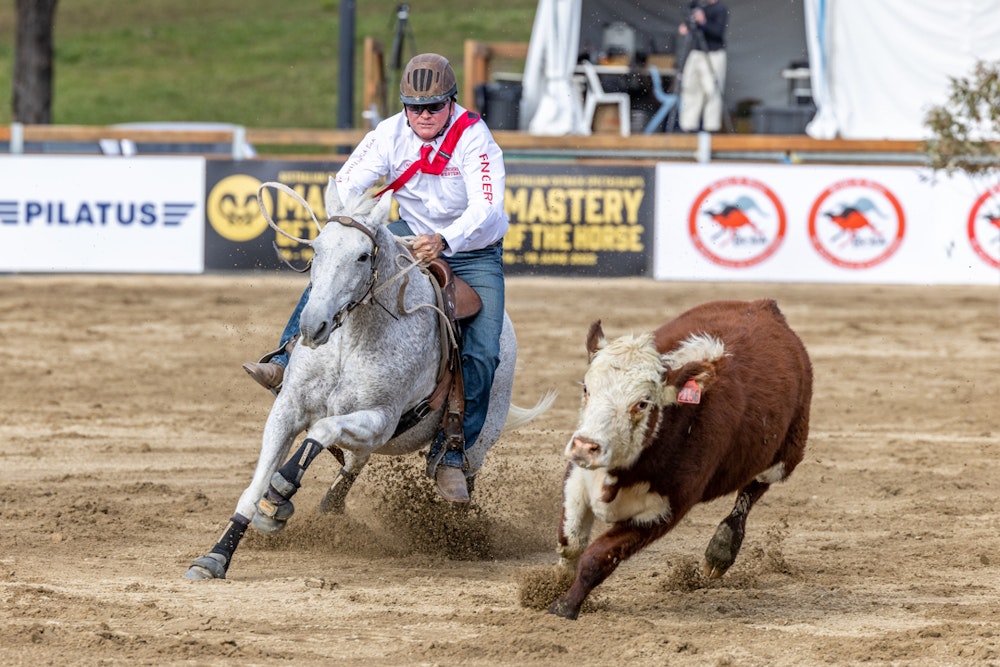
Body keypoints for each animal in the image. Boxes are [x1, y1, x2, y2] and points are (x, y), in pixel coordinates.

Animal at [184, 180, 552, 580]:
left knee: (461, 472)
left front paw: (280, 492)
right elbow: (254, 487)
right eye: (317, 248)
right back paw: (330, 505)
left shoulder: (380, 419)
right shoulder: (288, 408)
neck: (348, 345)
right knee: (353, 463)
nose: (313, 326)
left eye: (363, 256)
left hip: (481, 438)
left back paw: (460, 527)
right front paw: (216, 556)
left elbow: (320, 431)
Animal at [548, 300, 812, 620]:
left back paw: (720, 551)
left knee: (753, 488)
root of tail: (764, 307)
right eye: (586, 388)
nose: (586, 447)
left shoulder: (665, 510)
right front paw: (549, 587)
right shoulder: (578, 477)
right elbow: (571, 543)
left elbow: (598, 557)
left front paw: (565, 606)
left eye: (642, 403)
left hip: (787, 453)